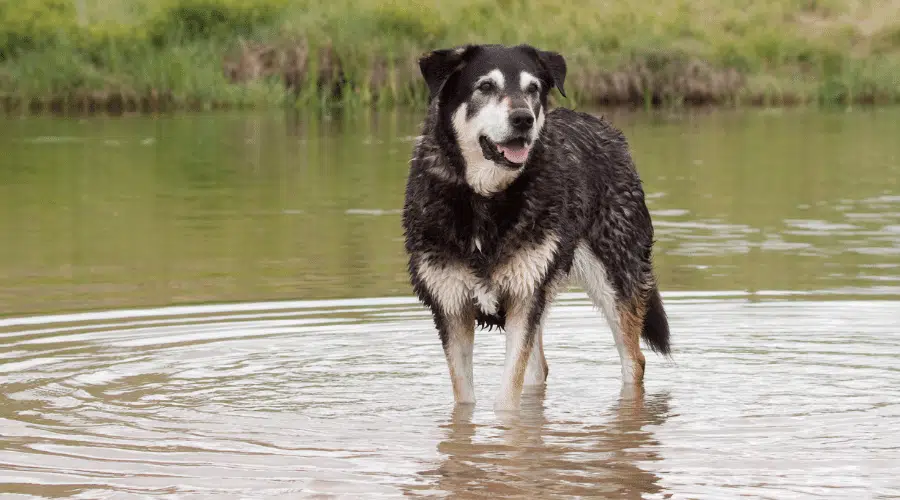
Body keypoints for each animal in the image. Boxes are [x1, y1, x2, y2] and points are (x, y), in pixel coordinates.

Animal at [400, 43, 668, 410]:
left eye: (533, 89)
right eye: (485, 86)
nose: (523, 119)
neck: (486, 201)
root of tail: (606, 127)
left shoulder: (524, 298)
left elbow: (506, 401)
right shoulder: (451, 306)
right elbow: (465, 399)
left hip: (613, 280)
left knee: (633, 361)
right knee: (539, 369)